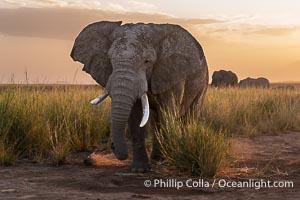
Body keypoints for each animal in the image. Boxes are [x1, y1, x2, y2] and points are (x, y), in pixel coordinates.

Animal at [71, 21, 210, 172]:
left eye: (147, 61)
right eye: (110, 60)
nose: (112, 146)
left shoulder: (172, 74)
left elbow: (168, 113)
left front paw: (169, 161)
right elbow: (135, 117)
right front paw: (140, 169)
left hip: (203, 81)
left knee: (190, 116)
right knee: (155, 120)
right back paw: (157, 158)